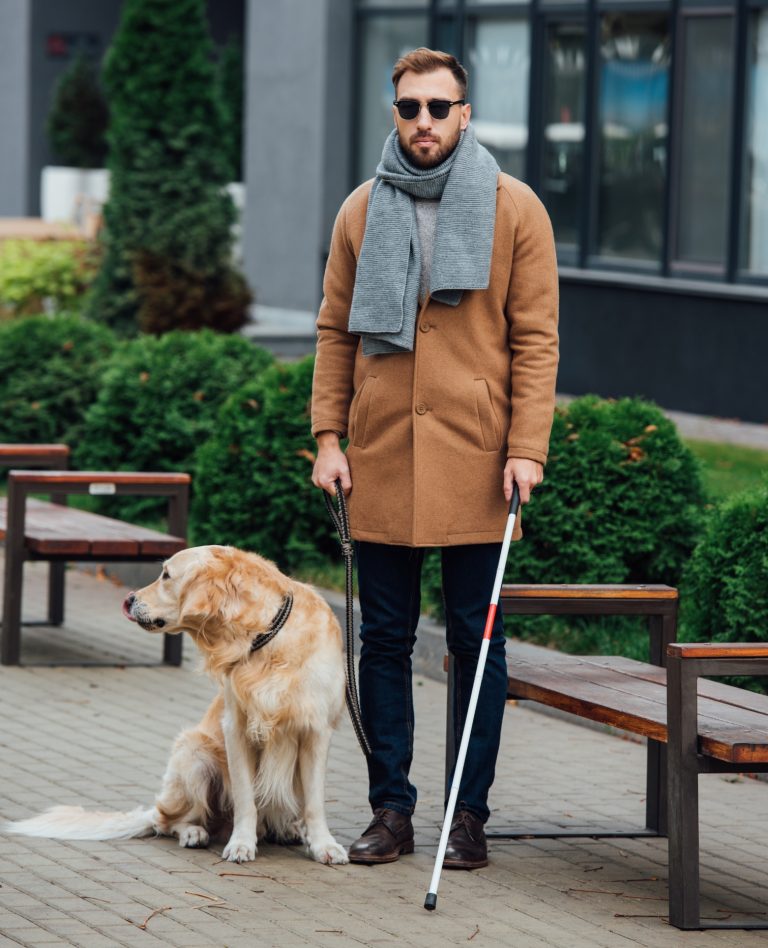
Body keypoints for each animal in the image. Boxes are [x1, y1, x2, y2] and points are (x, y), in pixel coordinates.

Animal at [5, 544, 348, 864]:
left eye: (167, 575)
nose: (129, 599)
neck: (265, 637)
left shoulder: (316, 730)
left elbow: (314, 802)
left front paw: (324, 845)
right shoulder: (236, 728)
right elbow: (245, 798)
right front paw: (241, 844)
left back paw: (289, 830)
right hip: (193, 755)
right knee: (168, 821)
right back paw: (194, 833)